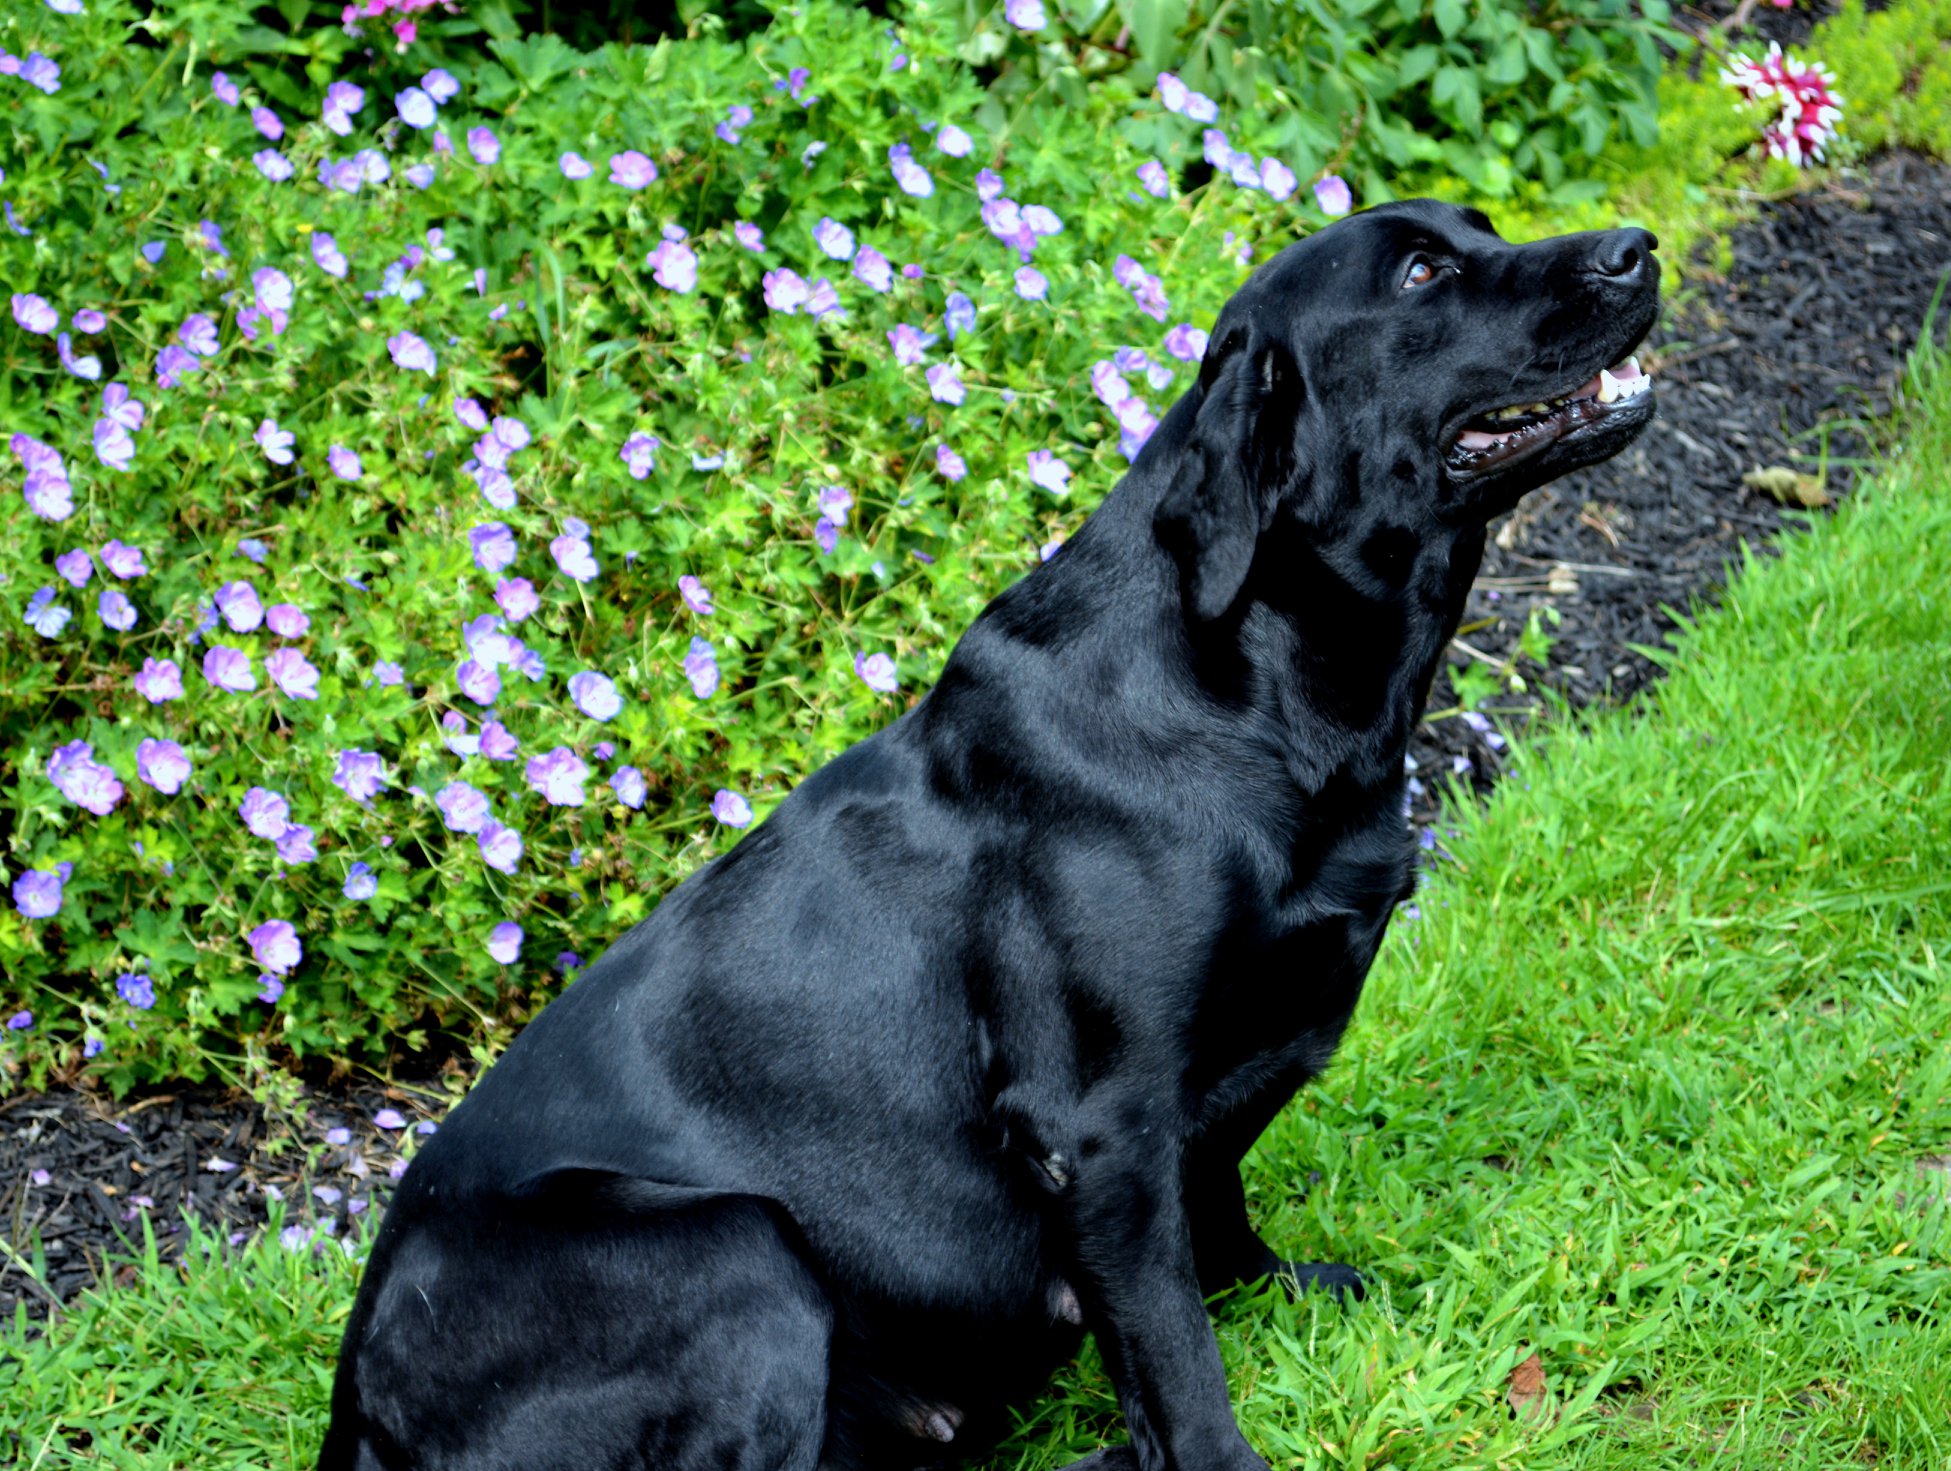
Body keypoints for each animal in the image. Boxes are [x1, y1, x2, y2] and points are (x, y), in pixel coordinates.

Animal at [323, 198, 1662, 1467]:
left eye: (1479, 232)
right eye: (1421, 275)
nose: (1636, 249)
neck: (1244, 681)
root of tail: (354, 1407)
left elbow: (1215, 1214)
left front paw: (1279, 1288)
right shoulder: (1096, 1121)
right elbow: (1174, 1355)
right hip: (738, 1245)